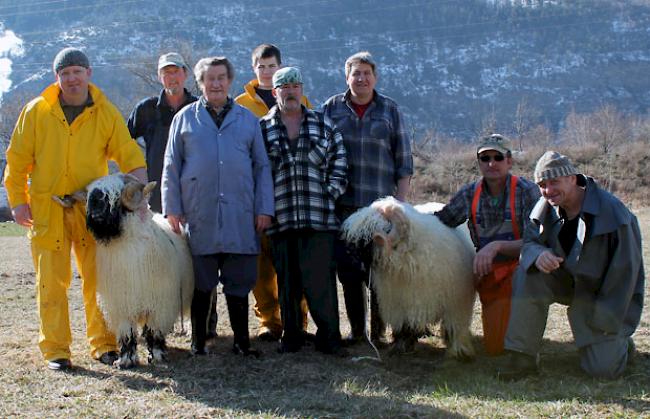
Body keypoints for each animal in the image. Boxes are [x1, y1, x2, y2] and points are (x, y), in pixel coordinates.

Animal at [54, 176, 191, 370]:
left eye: (115, 197)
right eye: (89, 197)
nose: (95, 216)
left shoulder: (158, 304)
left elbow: (155, 333)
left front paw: (157, 356)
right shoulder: (122, 305)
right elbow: (127, 335)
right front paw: (126, 360)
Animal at [340, 197, 476, 360]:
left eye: (366, 238)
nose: (345, 259)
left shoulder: (456, 304)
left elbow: (455, 327)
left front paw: (458, 351)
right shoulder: (401, 302)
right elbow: (404, 327)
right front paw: (402, 345)